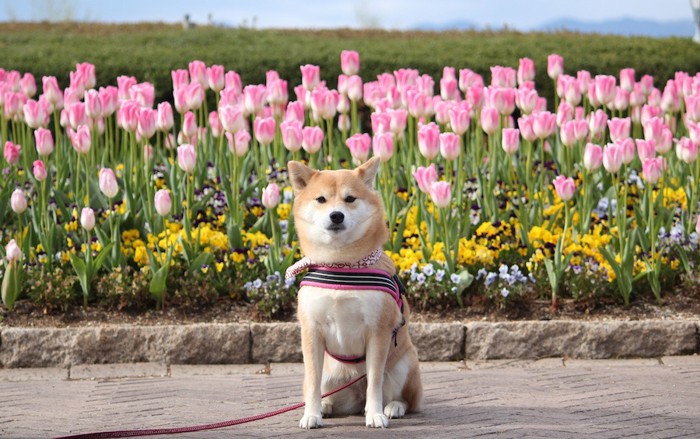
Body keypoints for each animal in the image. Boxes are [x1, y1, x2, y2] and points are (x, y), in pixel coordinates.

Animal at [284, 157, 422, 430]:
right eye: (321, 199)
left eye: (350, 199)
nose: (336, 215)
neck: (341, 265)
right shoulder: (311, 331)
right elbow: (312, 383)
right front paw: (311, 414)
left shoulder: (378, 331)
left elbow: (375, 382)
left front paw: (375, 414)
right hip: (330, 373)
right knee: (322, 389)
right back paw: (325, 407)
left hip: (405, 364)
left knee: (405, 399)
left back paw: (393, 407)